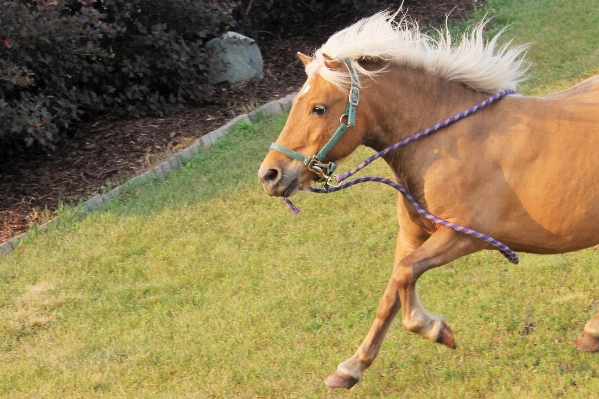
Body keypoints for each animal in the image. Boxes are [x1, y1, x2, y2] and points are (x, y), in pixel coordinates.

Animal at [256, 10, 599, 390]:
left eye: (318, 108)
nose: (270, 175)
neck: (447, 143)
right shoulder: (411, 236)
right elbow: (391, 292)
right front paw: (351, 367)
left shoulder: (464, 236)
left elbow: (406, 276)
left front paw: (435, 329)